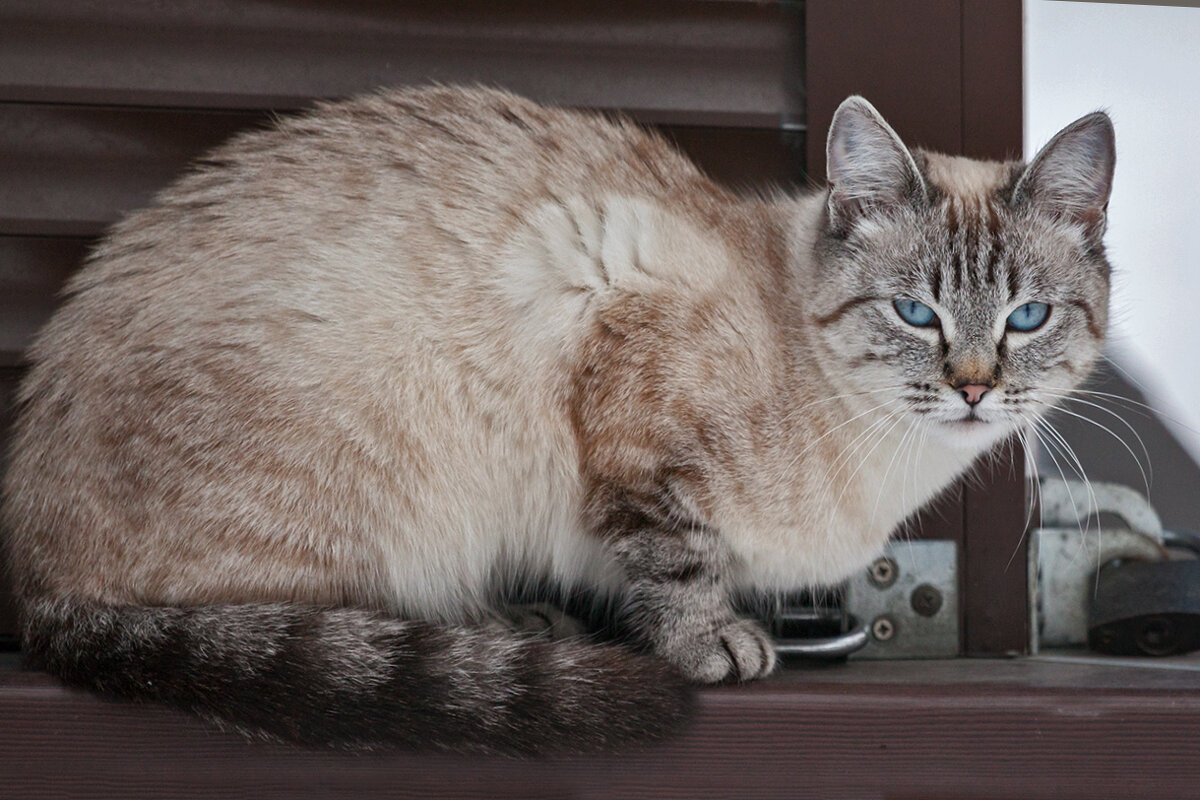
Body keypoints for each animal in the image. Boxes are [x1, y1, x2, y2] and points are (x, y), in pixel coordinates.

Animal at [0, 89, 1113, 758]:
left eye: (1027, 318)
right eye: (915, 313)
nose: (972, 389)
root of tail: (35, 580)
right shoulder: (617, 363)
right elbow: (673, 558)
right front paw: (715, 644)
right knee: (307, 620)